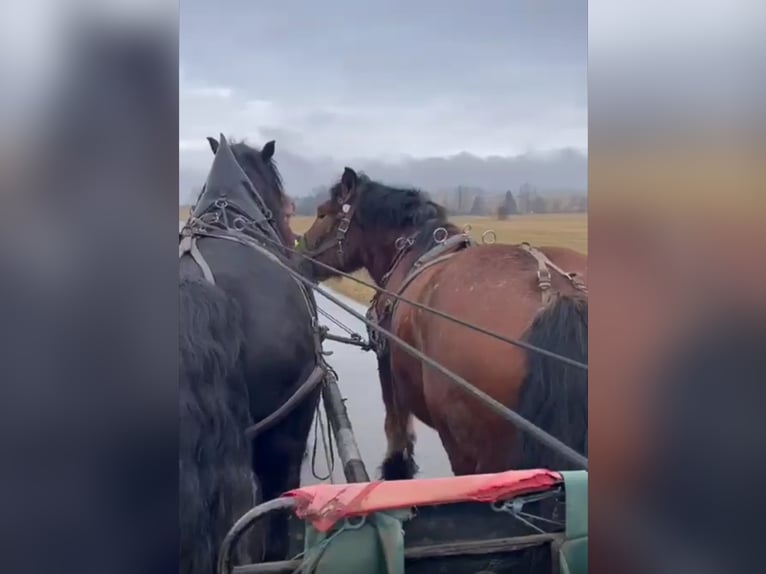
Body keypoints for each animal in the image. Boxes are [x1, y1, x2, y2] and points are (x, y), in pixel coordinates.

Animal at [299, 167, 588, 479]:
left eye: (323, 213)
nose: (299, 255)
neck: (412, 248)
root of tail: (556, 294)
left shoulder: (385, 359)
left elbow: (396, 425)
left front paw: (395, 468)